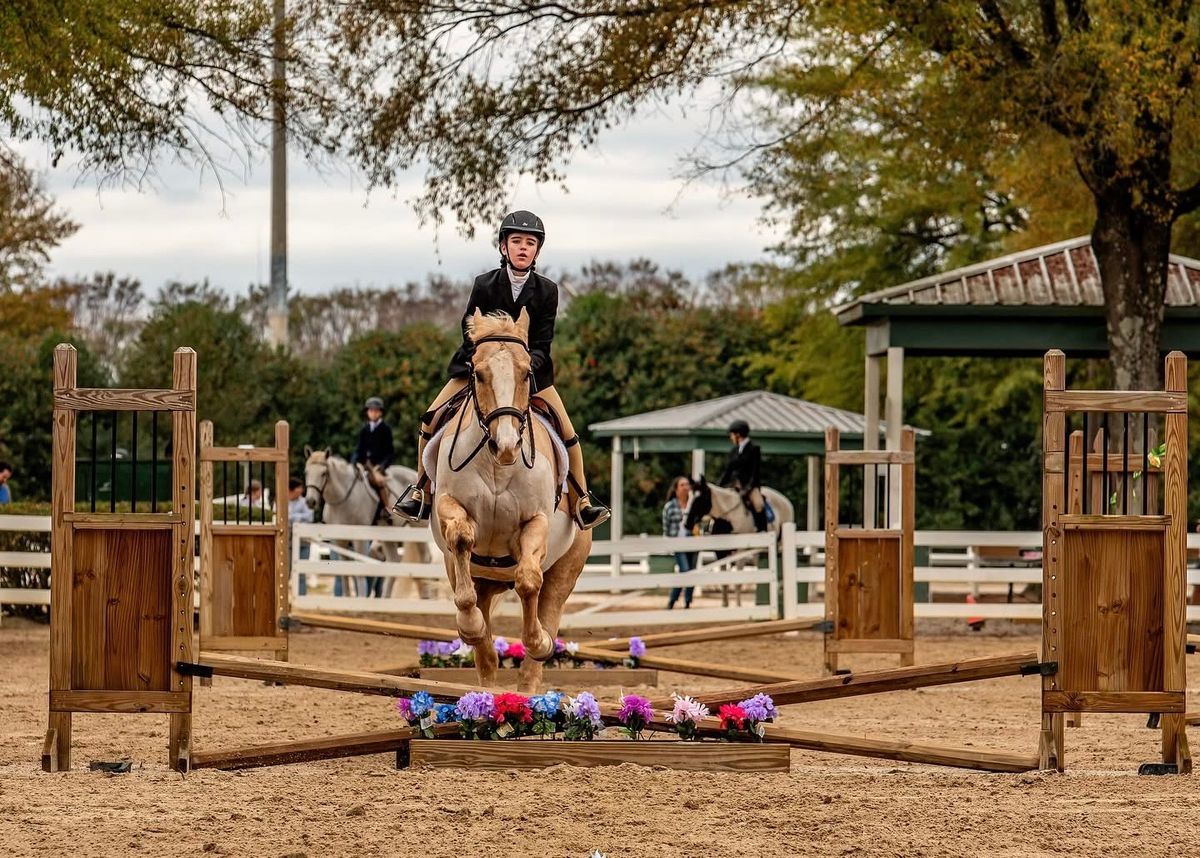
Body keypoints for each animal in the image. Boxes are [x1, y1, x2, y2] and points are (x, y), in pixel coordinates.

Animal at [302, 453, 429, 600]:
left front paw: (361, 597)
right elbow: (343, 569)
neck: (342, 500)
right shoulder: (339, 540)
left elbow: (360, 567)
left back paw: (426, 596)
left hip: (419, 529)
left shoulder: (360, 538)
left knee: (425, 559)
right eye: (306, 472)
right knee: (393, 560)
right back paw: (385, 598)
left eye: (324, 473)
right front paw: (346, 597)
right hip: (388, 534)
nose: (310, 501)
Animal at [432, 312, 590, 696]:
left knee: (546, 609)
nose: (505, 446)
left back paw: (530, 680)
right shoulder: (450, 506)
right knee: (485, 647)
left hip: (565, 572)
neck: (496, 466)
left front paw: (539, 642)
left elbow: (529, 580)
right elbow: (461, 538)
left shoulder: (535, 523)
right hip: (477, 576)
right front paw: (470, 625)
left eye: (526, 373)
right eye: (477, 373)